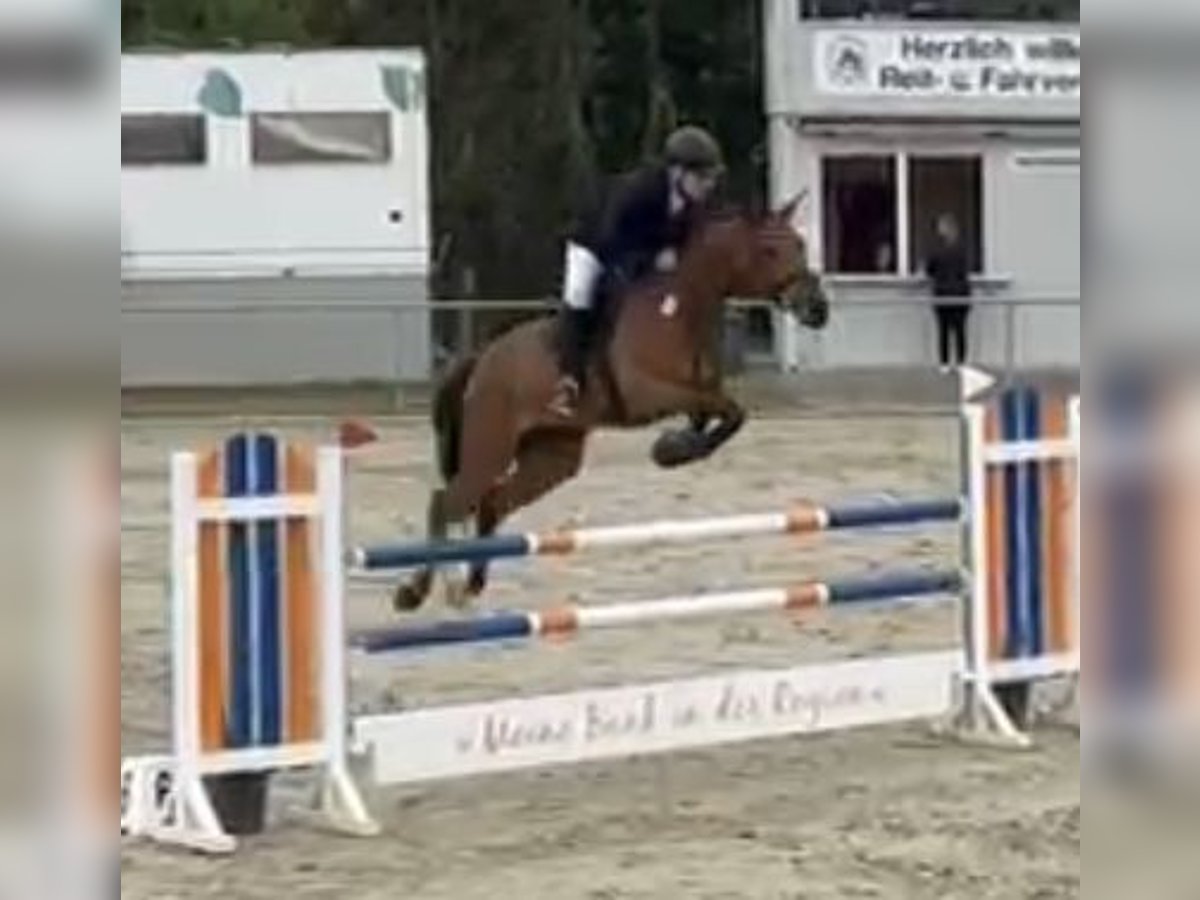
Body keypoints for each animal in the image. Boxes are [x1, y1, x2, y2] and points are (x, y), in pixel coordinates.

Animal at [391, 195, 830, 611]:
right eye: (770, 250)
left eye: (800, 244)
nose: (817, 308)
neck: (679, 308)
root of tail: (482, 358)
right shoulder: (649, 394)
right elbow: (727, 410)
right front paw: (671, 449)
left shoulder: (695, 396)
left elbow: (723, 414)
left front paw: (674, 448)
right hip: (491, 445)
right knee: (446, 503)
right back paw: (413, 593)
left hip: (552, 455)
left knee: (492, 503)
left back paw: (471, 586)